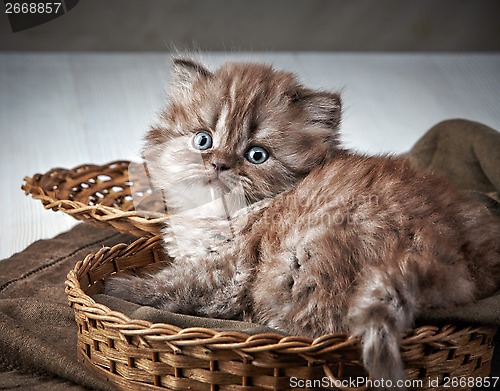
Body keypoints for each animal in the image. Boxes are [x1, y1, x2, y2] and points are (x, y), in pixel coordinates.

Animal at [103, 57, 498, 388]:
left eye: (257, 155)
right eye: (203, 140)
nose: (219, 164)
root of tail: (445, 249)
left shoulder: (228, 275)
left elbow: (173, 284)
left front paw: (117, 286)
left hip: (300, 266)